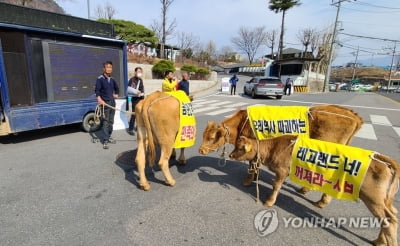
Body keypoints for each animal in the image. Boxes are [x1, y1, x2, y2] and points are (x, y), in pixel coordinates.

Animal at [198, 104, 364, 208]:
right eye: (203, 135)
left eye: (212, 137)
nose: (200, 150)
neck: (242, 122)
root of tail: (353, 116)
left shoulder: (254, 145)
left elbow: (252, 164)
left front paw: (248, 180)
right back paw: (306, 191)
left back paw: (321, 201)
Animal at [230, 135, 398, 245]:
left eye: (239, 148)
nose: (230, 154)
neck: (273, 148)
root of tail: (382, 159)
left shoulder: (282, 171)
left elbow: (276, 186)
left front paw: (269, 202)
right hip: (383, 200)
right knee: (391, 216)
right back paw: (379, 240)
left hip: (373, 198)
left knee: (389, 221)